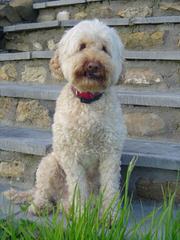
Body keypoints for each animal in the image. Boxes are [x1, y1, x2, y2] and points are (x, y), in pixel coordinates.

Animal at [4, 19, 125, 214]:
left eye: (104, 48)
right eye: (82, 46)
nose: (93, 65)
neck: (87, 102)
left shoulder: (110, 153)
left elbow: (110, 187)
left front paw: (110, 215)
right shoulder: (70, 155)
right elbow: (77, 187)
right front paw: (81, 215)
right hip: (49, 163)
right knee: (42, 191)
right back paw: (42, 206)